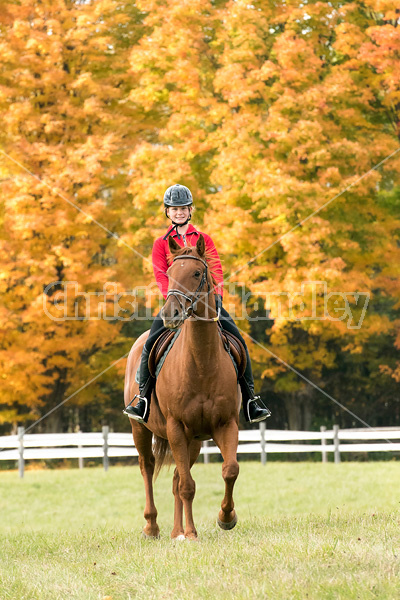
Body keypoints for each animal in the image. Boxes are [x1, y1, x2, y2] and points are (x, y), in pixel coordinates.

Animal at [123, 233, 239, 540]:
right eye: (170, 273)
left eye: (197, 273)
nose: (171, 313)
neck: (202, 363)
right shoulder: (175, 427)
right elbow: (187, 485)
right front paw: (193, 534)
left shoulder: (226, 424)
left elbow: (230, 470)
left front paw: (226, 518)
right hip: (141, 429)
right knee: (148, 467)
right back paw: (153, 526)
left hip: (193, 440)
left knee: (177, 477)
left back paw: (177, 531)